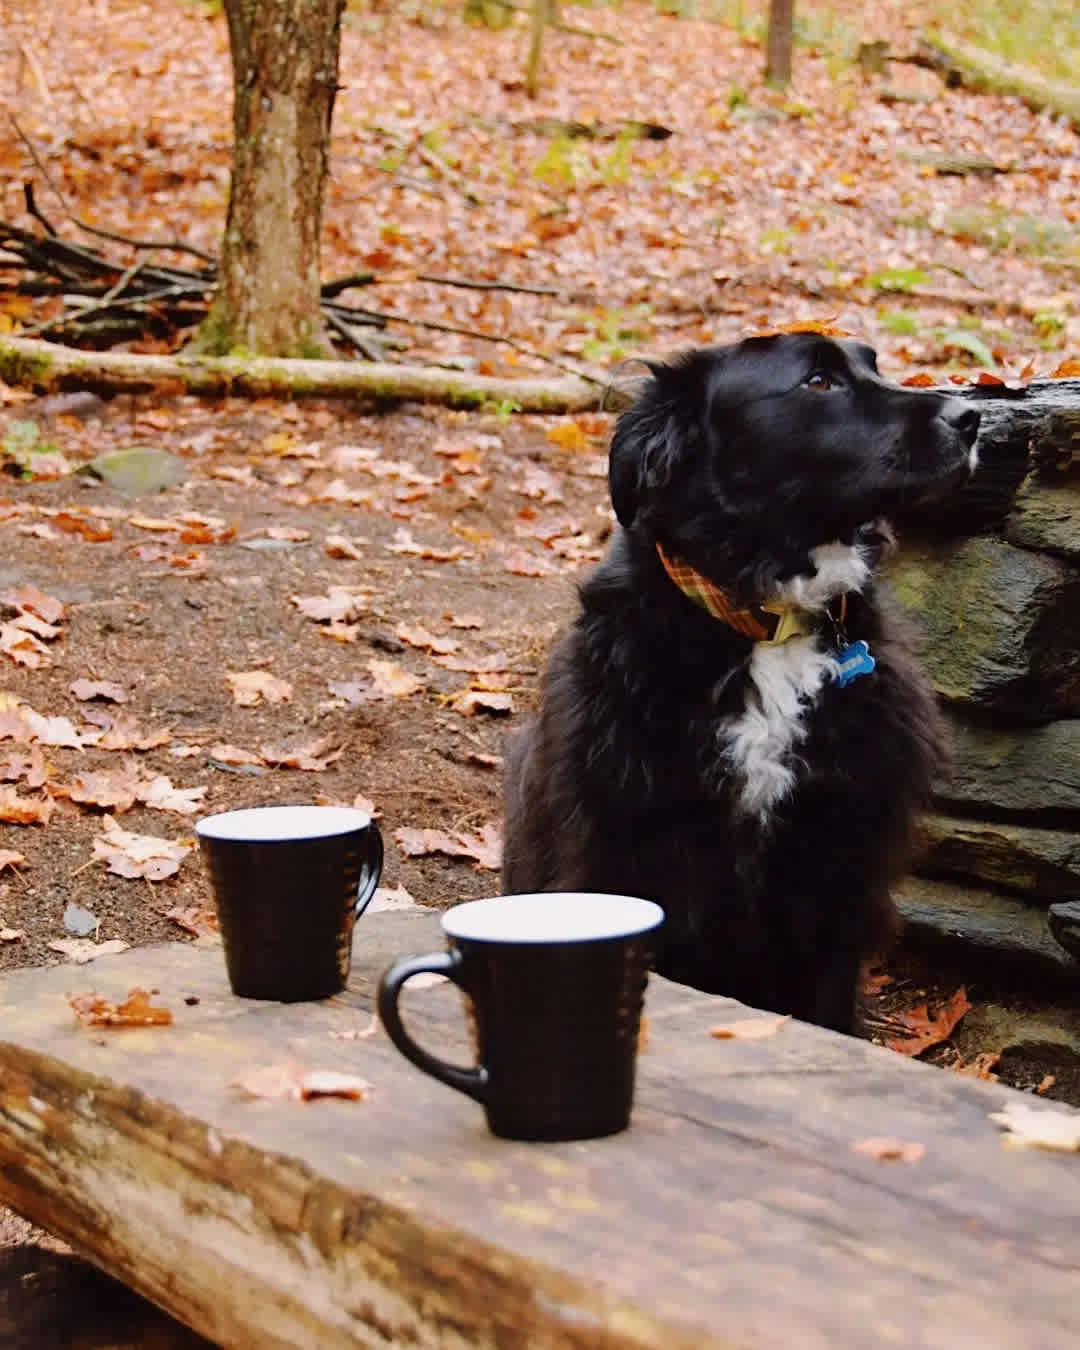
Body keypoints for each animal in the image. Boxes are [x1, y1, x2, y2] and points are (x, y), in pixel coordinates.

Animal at [499, 332, 977, 1026]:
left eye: (874, 364)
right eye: (818, 381)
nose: (971, 418)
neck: (766, 623)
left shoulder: (836, 877)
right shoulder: (621, 851)